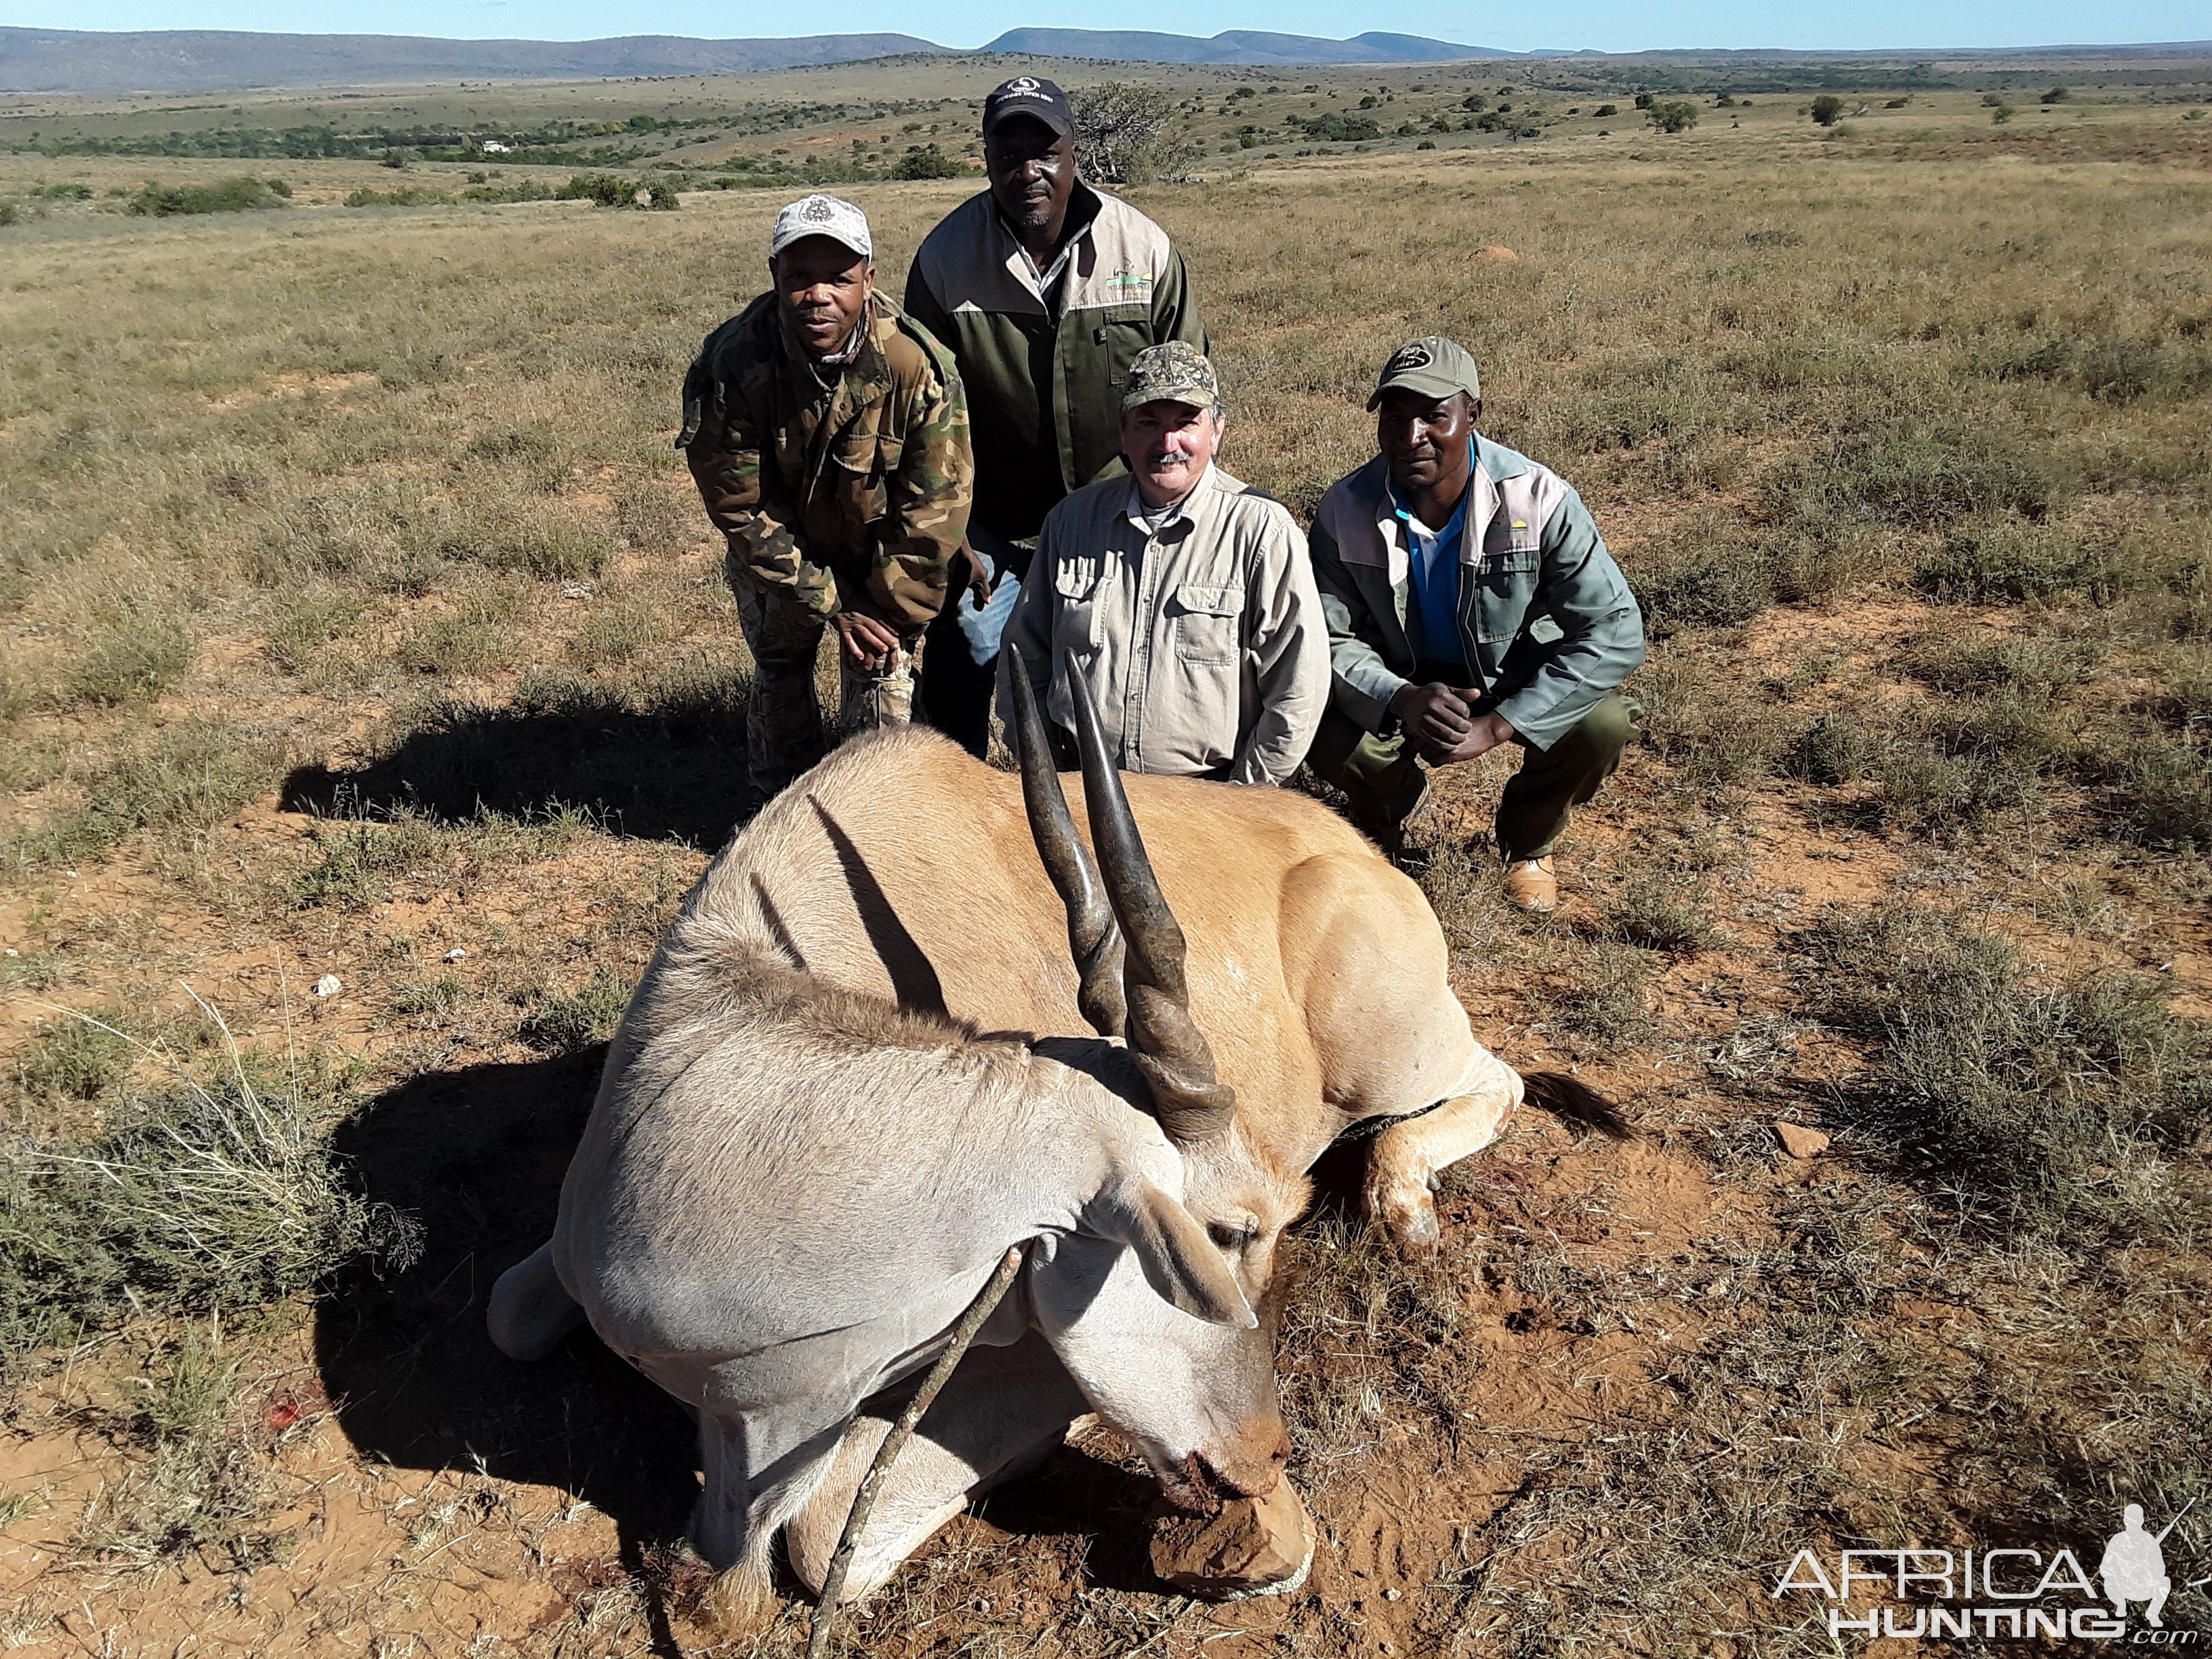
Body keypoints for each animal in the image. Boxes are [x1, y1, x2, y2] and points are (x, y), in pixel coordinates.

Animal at [493, 672, 1619, 1628]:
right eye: (1228, 1231)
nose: (1264, 1462)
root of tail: (1360, 850)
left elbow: (821, 1538)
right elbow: (512, 1316)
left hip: (1394, 1055)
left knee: (1499, 1079)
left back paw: (1404, 1203)